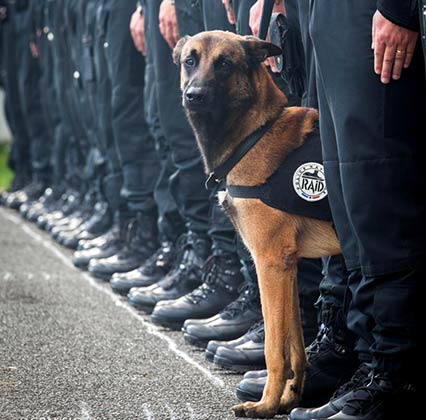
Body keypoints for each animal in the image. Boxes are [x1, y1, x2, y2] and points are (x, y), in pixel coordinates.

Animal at [171, 31, 342, 418]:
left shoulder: (269, 262)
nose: (194, 95)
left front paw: (264, 405)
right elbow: (295, 345)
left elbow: (274, 348)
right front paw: (288, 399)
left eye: (224, 63)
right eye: (190, 60)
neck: (256, 133)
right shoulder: (287, 266)